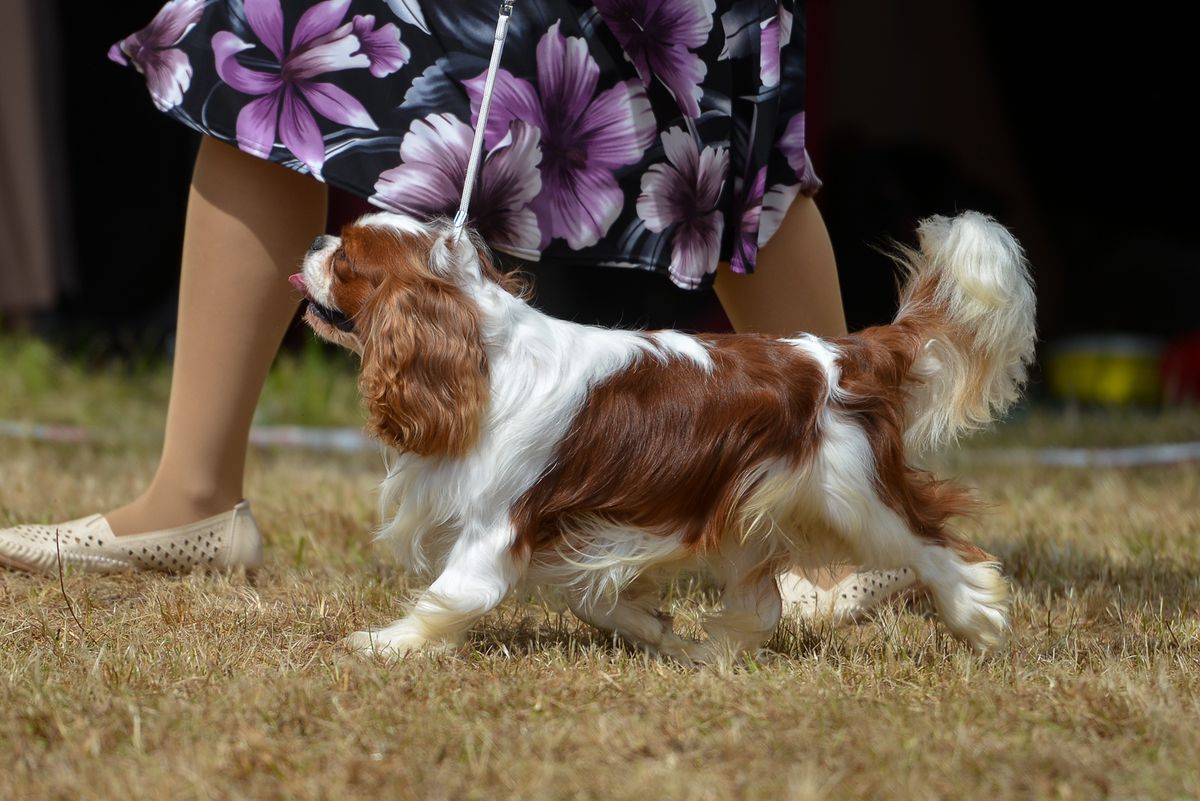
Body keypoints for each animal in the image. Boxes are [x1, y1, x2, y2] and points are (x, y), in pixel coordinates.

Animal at [292, 209, 1041, 661]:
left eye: (349, 260)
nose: (318, 242)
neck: (478, 351)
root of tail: (841, 353)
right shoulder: (580, 529)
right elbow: (594, 597)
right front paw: (657, 630)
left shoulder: (493, 529)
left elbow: (452, 595)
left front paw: (383, 643)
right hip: (747, 508)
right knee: (761, 602)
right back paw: (714, 653)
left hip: (855, 497)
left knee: (939, 545)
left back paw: (977, 614)